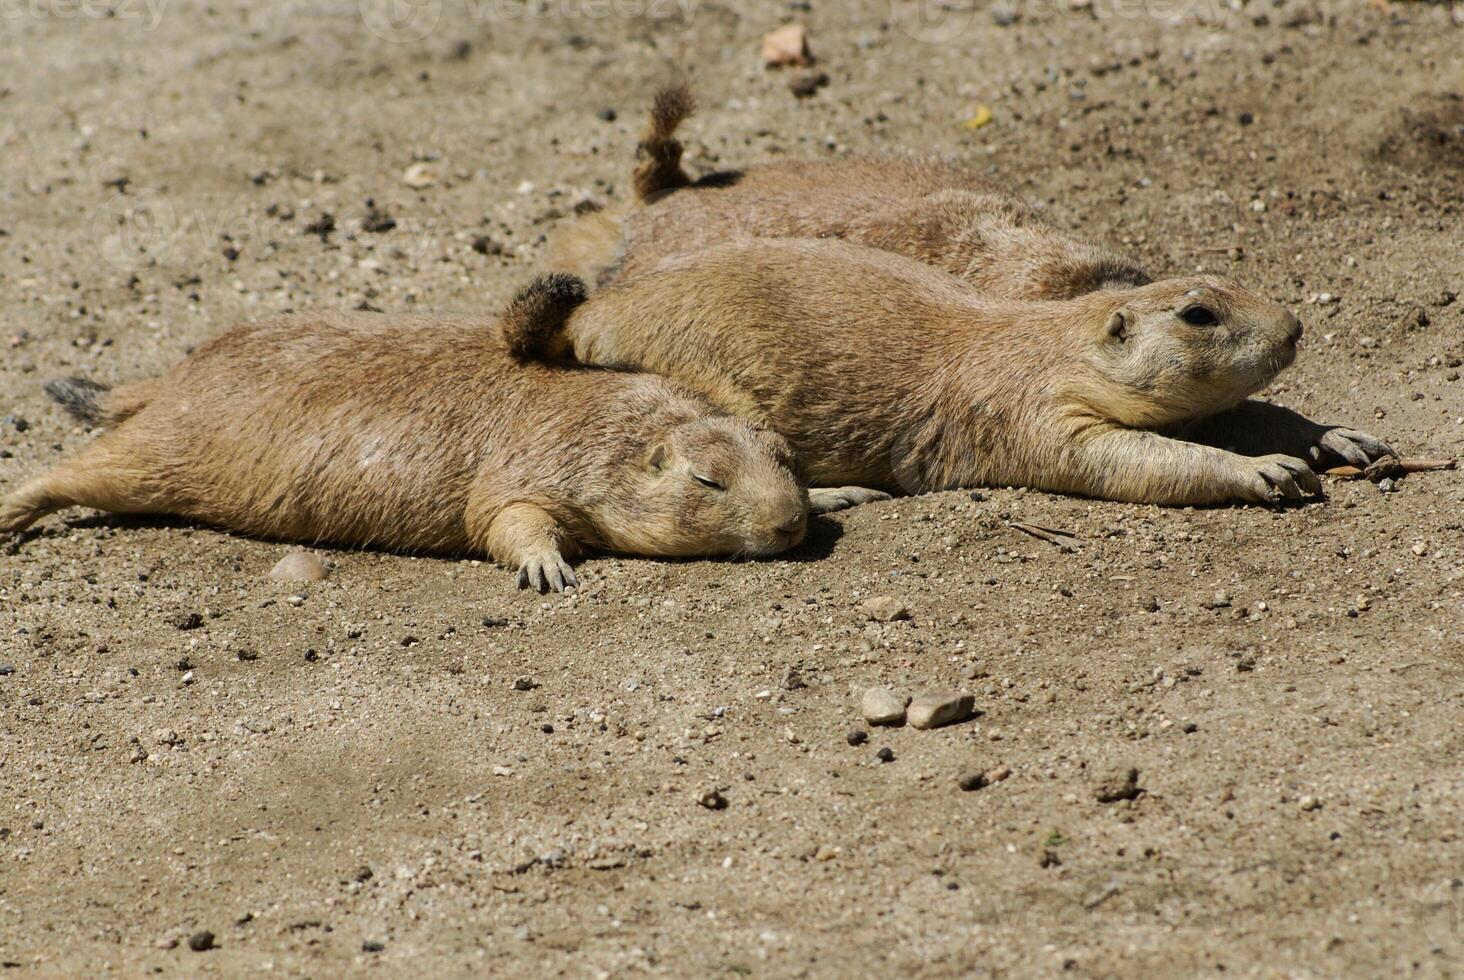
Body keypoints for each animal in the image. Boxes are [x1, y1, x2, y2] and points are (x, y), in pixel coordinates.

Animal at [0, 271, 813, 588]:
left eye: (787, 455)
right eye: (707, 480)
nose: (791, 524)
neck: (621, 419)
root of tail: (176, 374)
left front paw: (832, 496)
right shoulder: (533, 465)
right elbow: (502, 516)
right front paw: (546, 566)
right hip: (162, 452)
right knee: (73, 470)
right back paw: (12, 512)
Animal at [518, 237, 1393, 503]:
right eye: (1198, 315)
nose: (1296, 328)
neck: (1059, 339)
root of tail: (592, 314)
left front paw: (1342, 437)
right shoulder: (1036, 412)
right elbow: (1126, 457)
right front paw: (1266, 470)